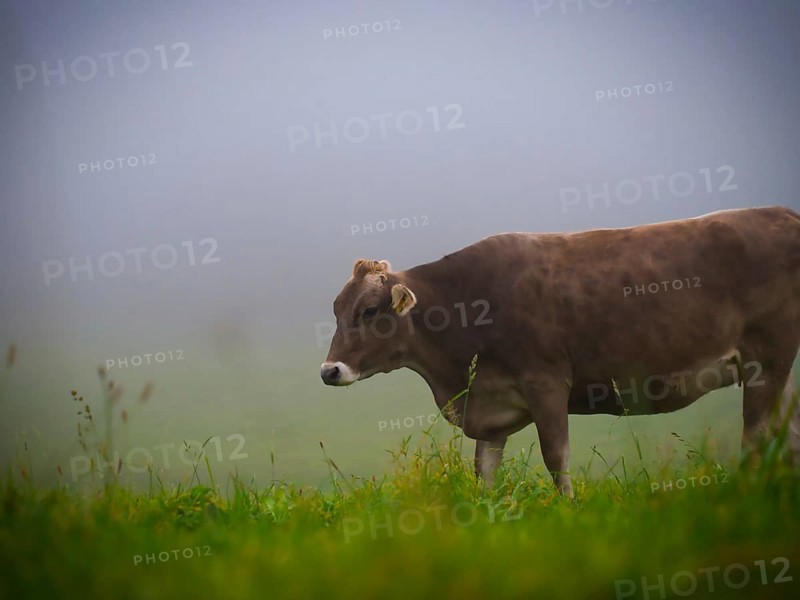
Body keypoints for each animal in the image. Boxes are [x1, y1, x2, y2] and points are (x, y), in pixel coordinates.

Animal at [320, 206, 800, 496]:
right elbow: (484, 473)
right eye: (337, 309)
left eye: (368, 311)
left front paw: (569, 510)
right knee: (787, 433)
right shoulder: (491, 404)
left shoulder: (546, 382)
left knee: (757, 433)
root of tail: (780, 214)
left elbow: (556, 458)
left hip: (766, 354)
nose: (329, 371)